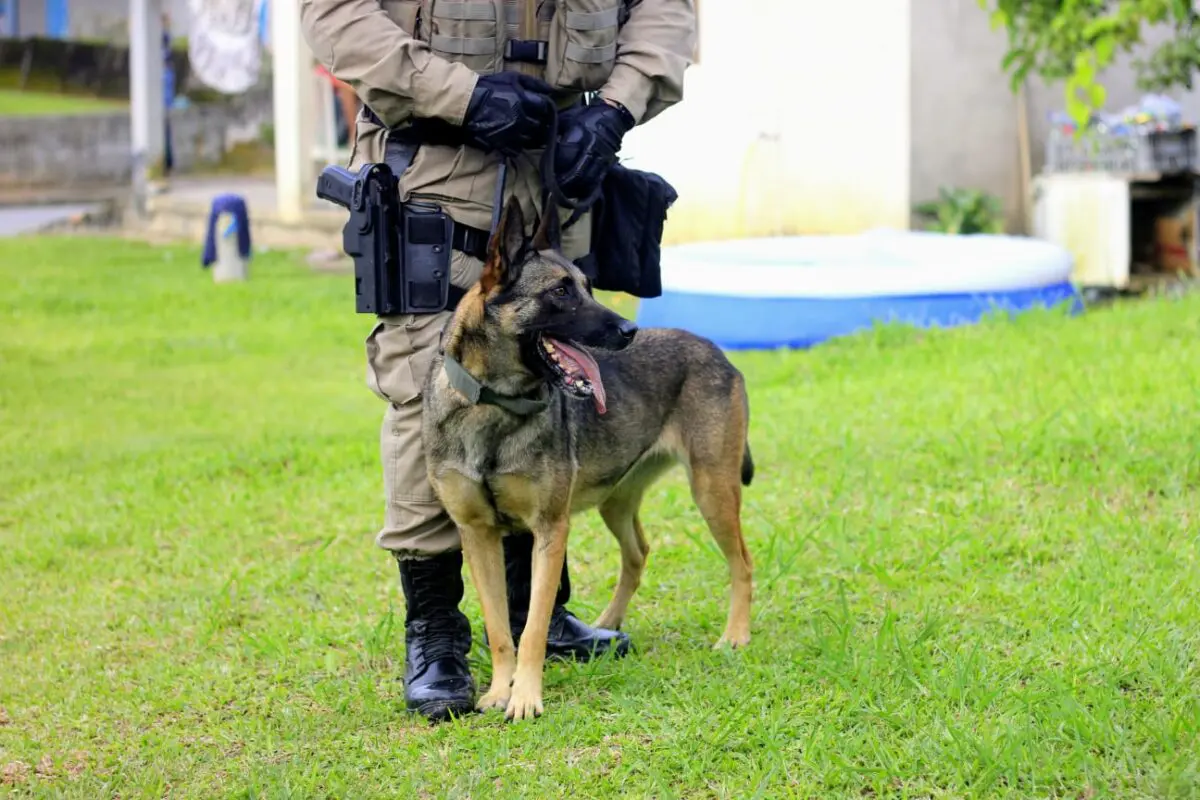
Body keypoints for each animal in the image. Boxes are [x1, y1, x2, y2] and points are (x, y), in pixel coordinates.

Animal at [422, 196, 753, 724]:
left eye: (588, 288)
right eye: (561, 292)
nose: (630, 329)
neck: (495, 405)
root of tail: (715, 350)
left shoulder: (550, 530)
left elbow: (533, 628)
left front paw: (525, 697)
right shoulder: (478, 536)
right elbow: (499, 628)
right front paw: (498, 692)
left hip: (712, 491)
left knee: (742, 562)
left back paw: (735, 635)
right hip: (615, 502)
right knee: (638, 554)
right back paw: (609, 624)